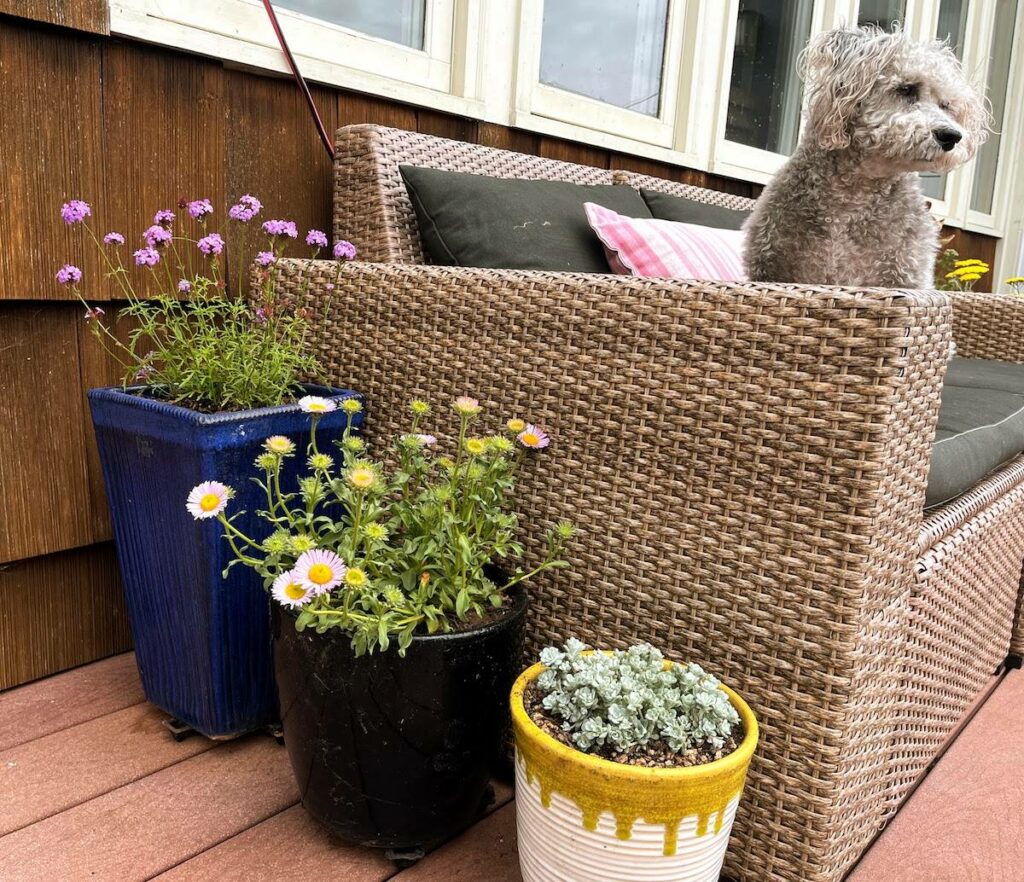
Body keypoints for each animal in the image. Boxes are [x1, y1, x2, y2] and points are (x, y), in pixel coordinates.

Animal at [745, 26, 991, 288]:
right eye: (906, 88)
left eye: (945, 105)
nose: (953, 136)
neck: (853, 197)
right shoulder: (773, 271)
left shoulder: (908, 277)